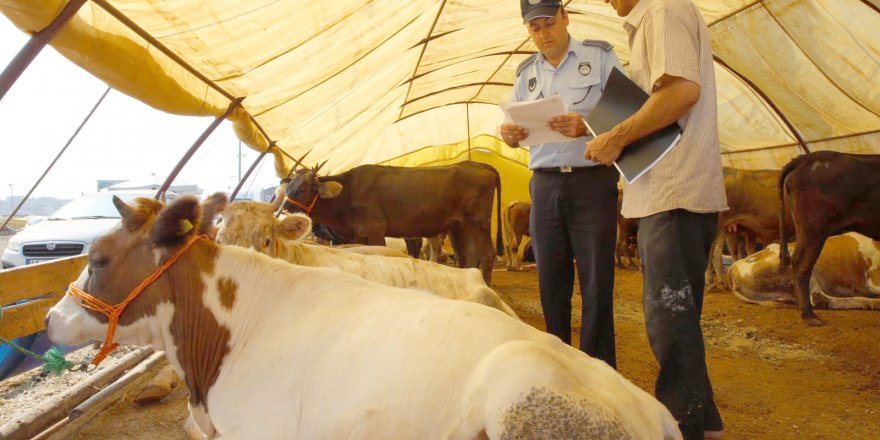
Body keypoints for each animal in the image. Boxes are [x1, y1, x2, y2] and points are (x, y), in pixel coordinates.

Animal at [282, 161, 502, 282]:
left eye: (303, 188)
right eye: (289, 186)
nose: (284, 207)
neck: (347, 194)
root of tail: (476, 164)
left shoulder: (375, 230)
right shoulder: (357, 235)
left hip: (477, 223)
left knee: (483, 255)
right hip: (457, 226)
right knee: (466, 256)